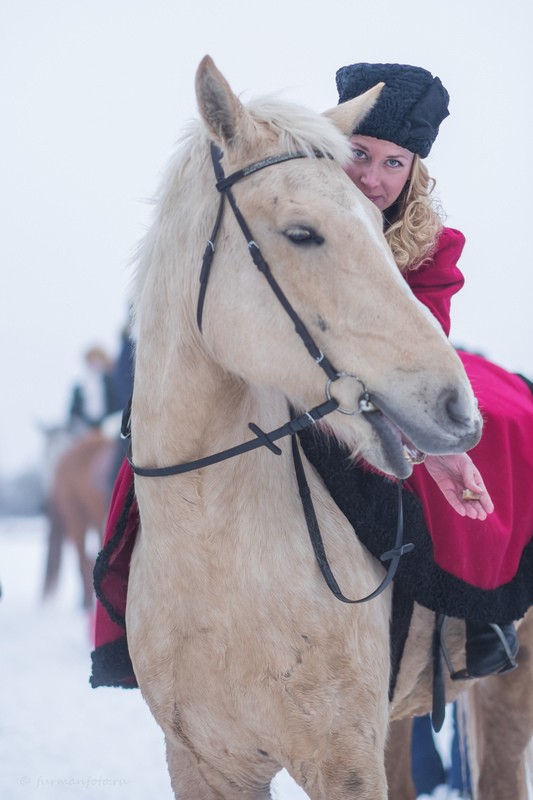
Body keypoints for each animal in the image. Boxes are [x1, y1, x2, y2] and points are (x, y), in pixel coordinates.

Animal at [123, 57, 528, 800]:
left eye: (374, 216)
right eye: (302, 232)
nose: (459, 414)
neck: (215, 551)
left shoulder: (342, 764)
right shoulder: (203, 766)